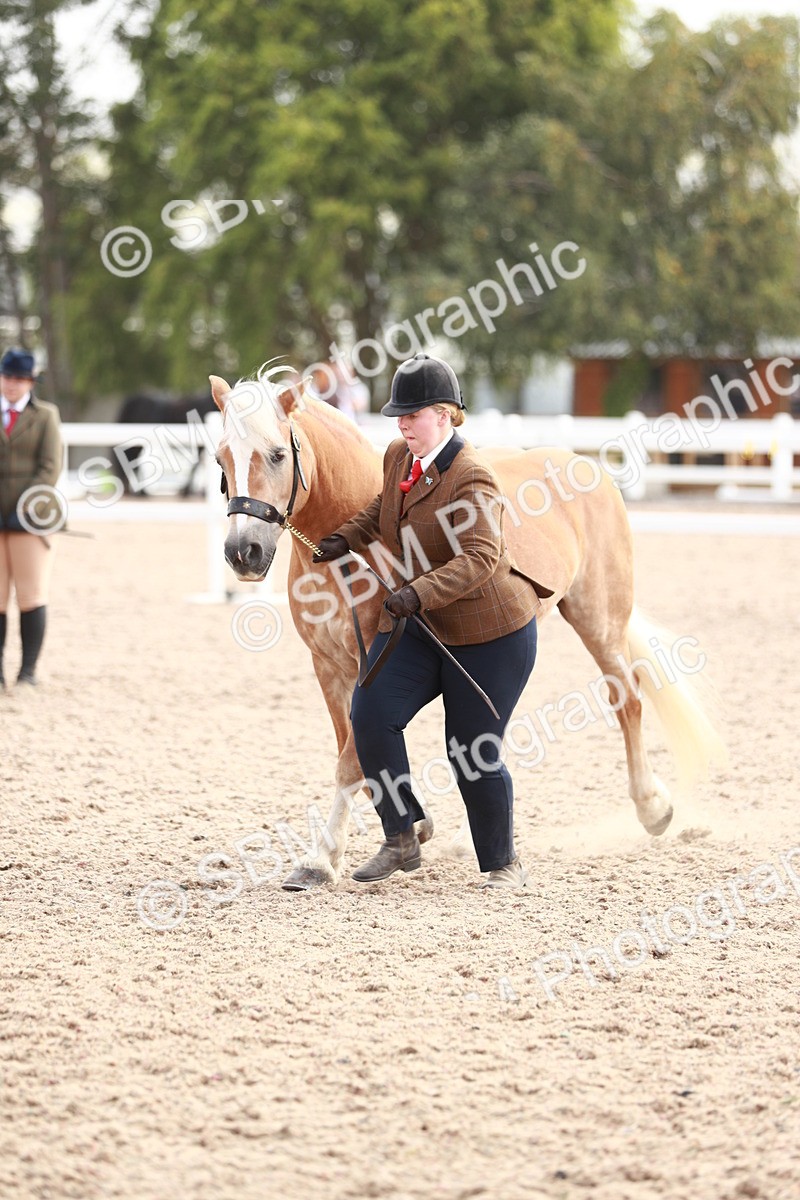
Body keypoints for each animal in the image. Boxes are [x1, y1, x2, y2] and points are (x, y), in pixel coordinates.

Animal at [210, 364, 725, 891]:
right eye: (220, 457)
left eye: (277, 454)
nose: (243, 553)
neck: (352, 556)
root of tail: (586, 466)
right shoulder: (330, 666)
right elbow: (357, 750)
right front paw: (417, 827)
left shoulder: (370, 662)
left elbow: (351, 762)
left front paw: (320, 859)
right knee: (486, 737)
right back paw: (466, 839)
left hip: (598, 620)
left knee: (626, 699)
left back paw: (653, 808)